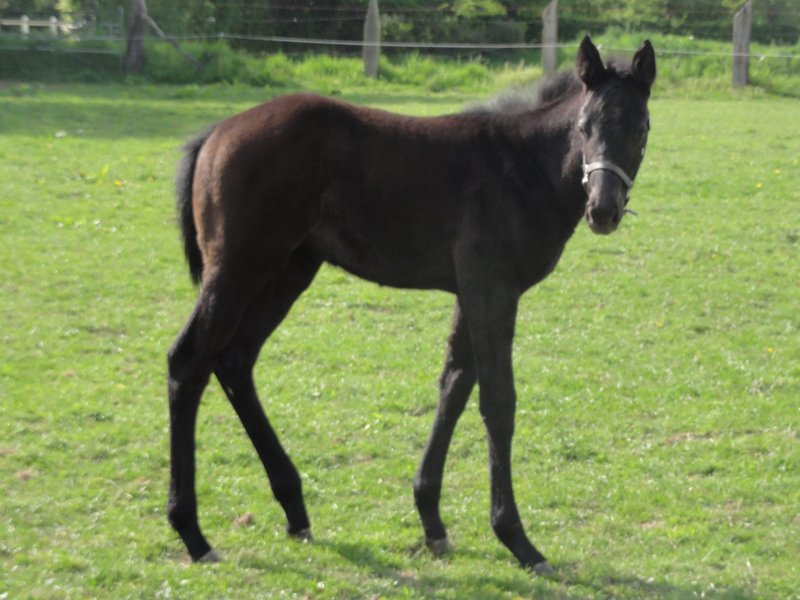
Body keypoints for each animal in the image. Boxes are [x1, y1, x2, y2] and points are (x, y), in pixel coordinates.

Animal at [166, 36, 656, 574]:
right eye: (584, 127)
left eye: (641, 128)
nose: (603, 210)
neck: (522, 168)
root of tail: (214, 133)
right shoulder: (492, 289)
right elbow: (497, 401)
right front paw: (517, 539)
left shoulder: (472, 290)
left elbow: (455, 386)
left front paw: (433, 522)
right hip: (238, 270)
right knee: (188, 362)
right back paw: (193, 533)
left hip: (288, 271)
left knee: (234, 362)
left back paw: (294, 508)